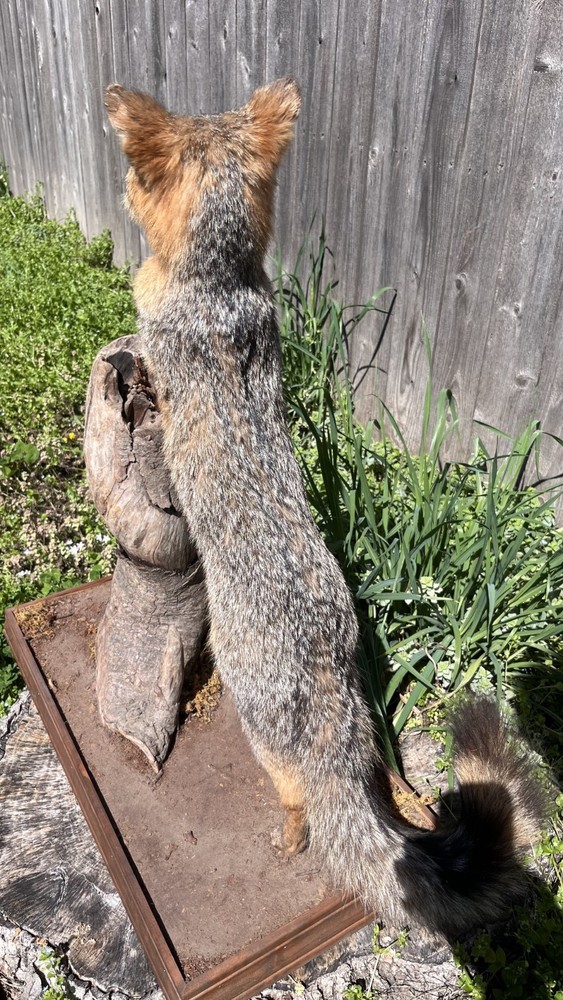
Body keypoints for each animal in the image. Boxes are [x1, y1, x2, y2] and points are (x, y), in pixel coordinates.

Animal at [104, 78, 545, 938]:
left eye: (134, 178)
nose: (119, 192)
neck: (220, 287)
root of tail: (324, 679)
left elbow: (145, 371)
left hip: (260, 734)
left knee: (302, 801)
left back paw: (288, 837)